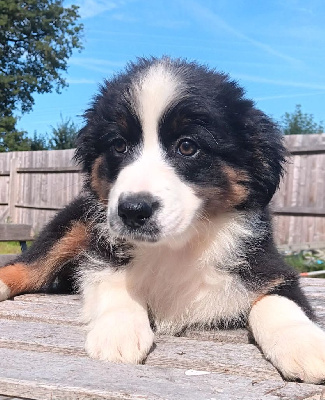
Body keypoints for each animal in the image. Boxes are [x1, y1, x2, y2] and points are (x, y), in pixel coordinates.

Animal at [0, 57, 324, 384]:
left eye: (187, 146)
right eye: (119, 146)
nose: (132, 210)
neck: (177, 246)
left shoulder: (267, 265)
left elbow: (277, 301)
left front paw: (305, 344)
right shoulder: (101, 251)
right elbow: (112, 278)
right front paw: (118, 332)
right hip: (74, 223)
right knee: (30, 265)